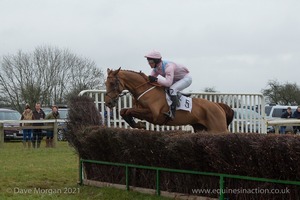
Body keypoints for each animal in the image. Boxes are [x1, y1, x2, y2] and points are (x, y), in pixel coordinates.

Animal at [105, 68, 234, 134]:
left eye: (112, 83)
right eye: (105, 83)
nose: (108, 103)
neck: (145, 90)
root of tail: (218, 105)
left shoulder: (153, 115)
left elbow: (128, 111)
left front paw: (139, 124)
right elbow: (124, 111)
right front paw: (137, 124)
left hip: (218, 129)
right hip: (201, 128)